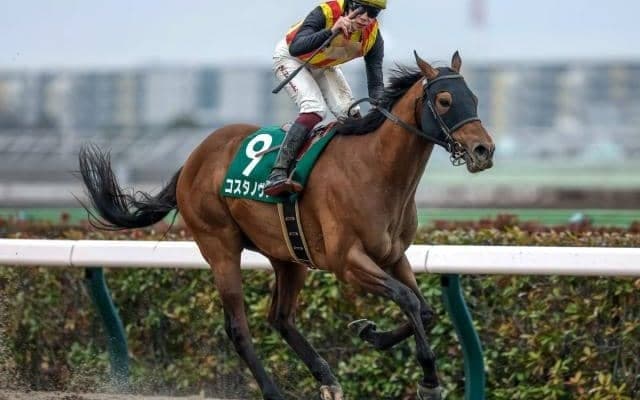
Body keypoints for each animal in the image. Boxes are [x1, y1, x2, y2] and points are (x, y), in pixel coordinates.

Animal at [78, 51, 494, 400]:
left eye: (473, 97)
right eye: (445, 101)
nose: (484, 151)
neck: (376, 170)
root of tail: (194, 157)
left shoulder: (393, 256)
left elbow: (424, 310)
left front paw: (370, 332)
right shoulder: (347, 261)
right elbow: (407, 299)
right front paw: (428, 379)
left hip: (289, 256)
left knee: (279, 317)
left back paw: (326, 377)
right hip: (220, 247)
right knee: (238, 327)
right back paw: (273, 390)